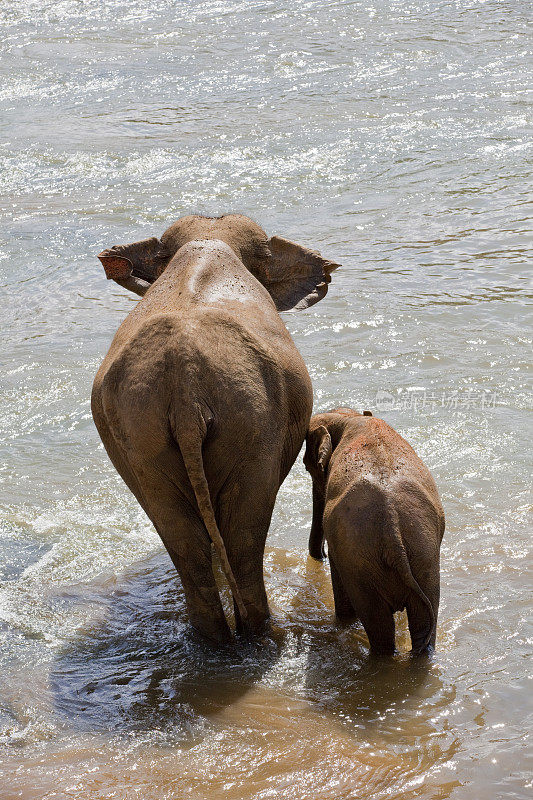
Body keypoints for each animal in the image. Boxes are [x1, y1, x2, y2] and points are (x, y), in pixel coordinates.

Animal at [89, 214, 334, 644]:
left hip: (140, 434)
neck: (207, 241)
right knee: (243, 532)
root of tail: (185, 386)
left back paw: (215, 641)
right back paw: (258, 634)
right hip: (252, 421)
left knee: (181, 536)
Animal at [304, 410, 444, 652]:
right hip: (420, 558)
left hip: (364, 565)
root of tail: (393, 530)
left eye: (307, 465)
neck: (348, 416)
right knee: (419, 622)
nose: (319, 555)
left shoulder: (339, 552)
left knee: (379, 627)